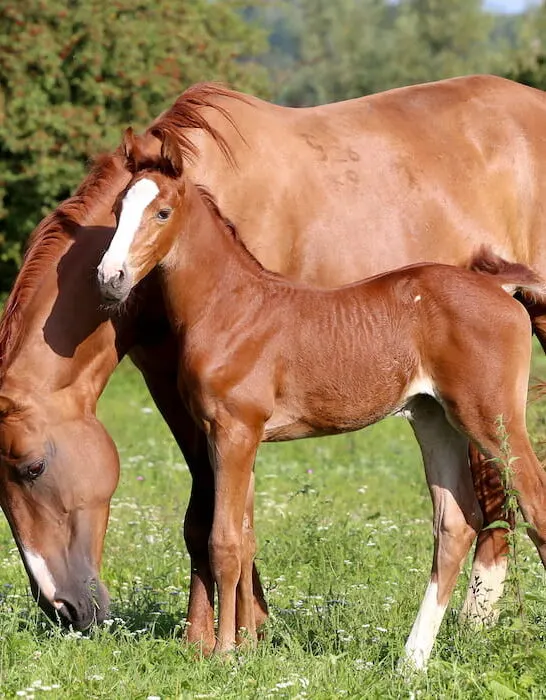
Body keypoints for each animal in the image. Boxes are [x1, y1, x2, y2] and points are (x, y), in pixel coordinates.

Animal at [2, 75, 546, 645]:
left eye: (32, 467)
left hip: (489, 415)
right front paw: (239, 638)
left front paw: (224, 645)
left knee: (532, 501)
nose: (64, 609)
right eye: (117, 213)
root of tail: (499, 289)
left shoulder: (235, 429)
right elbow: (232, 529)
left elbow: (222, 534)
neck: (235, 304)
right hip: (435, 416)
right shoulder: (214, 421)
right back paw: (415, 655)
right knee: (456, 521)